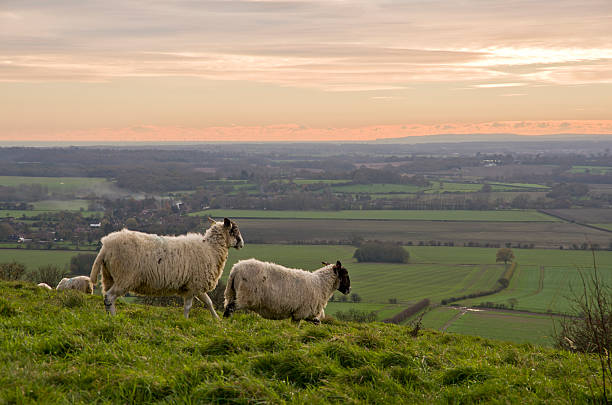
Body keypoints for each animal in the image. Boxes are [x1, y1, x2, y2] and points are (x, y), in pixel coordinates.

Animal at [91, 216, 244, 318]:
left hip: (109, 276)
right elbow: (188, 307)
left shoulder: (195, 285)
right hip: (125, 277)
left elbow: (209, 302)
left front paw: (217, 320)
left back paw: (109, 316)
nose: (242, 244)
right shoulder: (194, 285)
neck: (211, 249)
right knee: (110, 297)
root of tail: (105, 245)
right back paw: (113, 318)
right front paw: (185, 320)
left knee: (107, 297)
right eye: (234, 230)